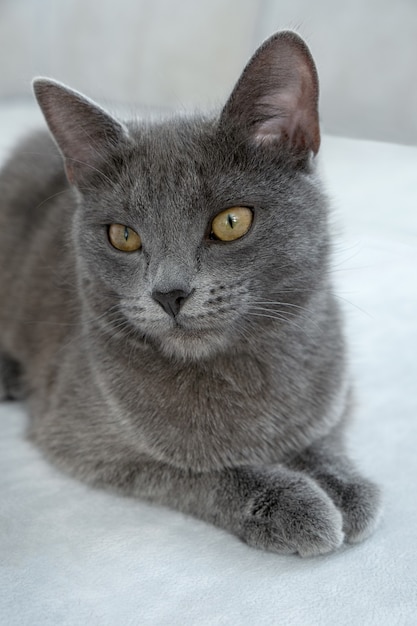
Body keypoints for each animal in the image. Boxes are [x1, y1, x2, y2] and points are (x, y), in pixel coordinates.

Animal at [0, 31, 380, 552]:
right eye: (123, 235)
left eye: (231, 222)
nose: (169, 293)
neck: (242, 374)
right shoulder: (80, 439)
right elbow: (200, 471)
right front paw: (295, 504)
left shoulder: (336, 389)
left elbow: (323, 434)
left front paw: (345, 486)